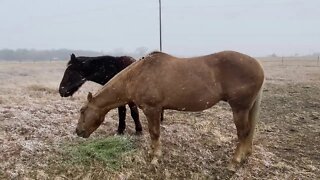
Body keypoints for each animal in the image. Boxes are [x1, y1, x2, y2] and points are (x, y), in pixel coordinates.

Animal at [75, 50, 264, 167]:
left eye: (82, 111)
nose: (77, 131)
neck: (136, 76)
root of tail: (258, 65)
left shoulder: (152, 109)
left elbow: (154, 133)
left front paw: (155, 158)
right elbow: (153, 134)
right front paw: (152, 152)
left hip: (239, 108)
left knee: (243, 133)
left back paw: (234, 162)